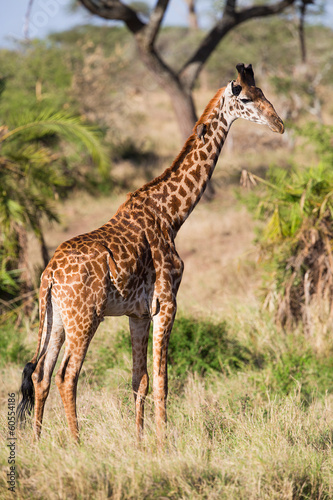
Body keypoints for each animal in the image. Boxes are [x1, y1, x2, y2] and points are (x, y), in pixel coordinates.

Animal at [17, 64, 282, 444]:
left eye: (262, 92)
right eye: (245, 98)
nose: (279, 124)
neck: (172, 214)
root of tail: (49, 274)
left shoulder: (138, 313)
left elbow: (138, 380)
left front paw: (141, 443)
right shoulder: (167, 303)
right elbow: (162, 381)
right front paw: (162, 444)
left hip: (55, 318)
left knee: (41, 374)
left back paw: (39, 444)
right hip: (85, 317)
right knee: (68, 375)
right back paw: (76, 445)